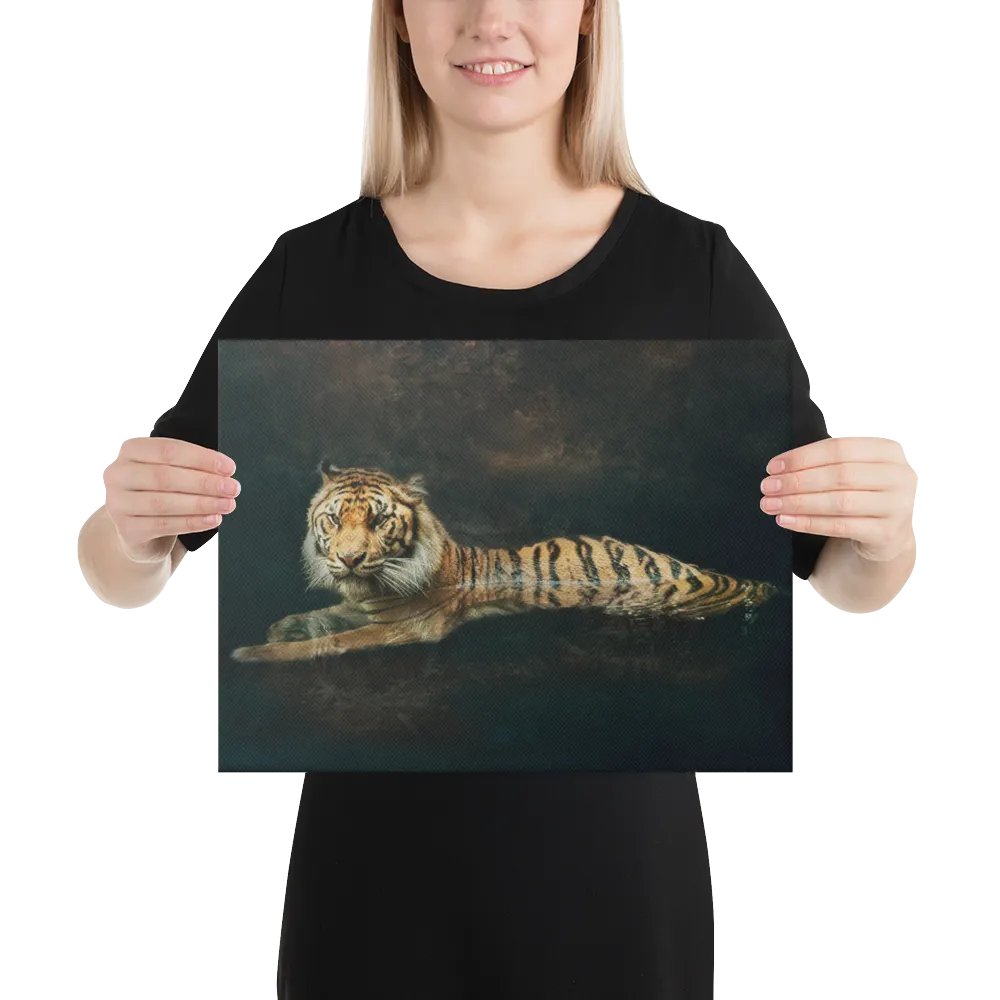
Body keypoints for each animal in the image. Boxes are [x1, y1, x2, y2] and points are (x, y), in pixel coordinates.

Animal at [230, 462, 780, 663]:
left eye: (378, 520)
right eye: (334, 519)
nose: (349, 558)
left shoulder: (407, 626)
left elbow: (336, 641)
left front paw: (253, 653)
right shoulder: (366, 606)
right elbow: (324, 618)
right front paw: (283, 626)